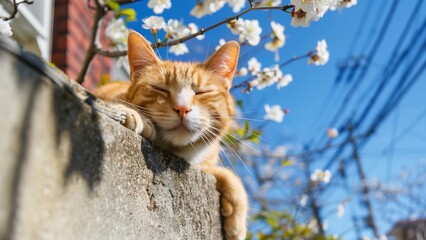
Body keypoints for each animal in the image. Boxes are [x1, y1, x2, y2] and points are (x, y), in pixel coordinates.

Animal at [93, 31, 246, 240]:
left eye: (201, 92)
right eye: (160, 89)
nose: (182, 108)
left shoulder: (205, 163)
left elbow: (228, 175)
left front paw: (237, 220)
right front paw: (131, 114)